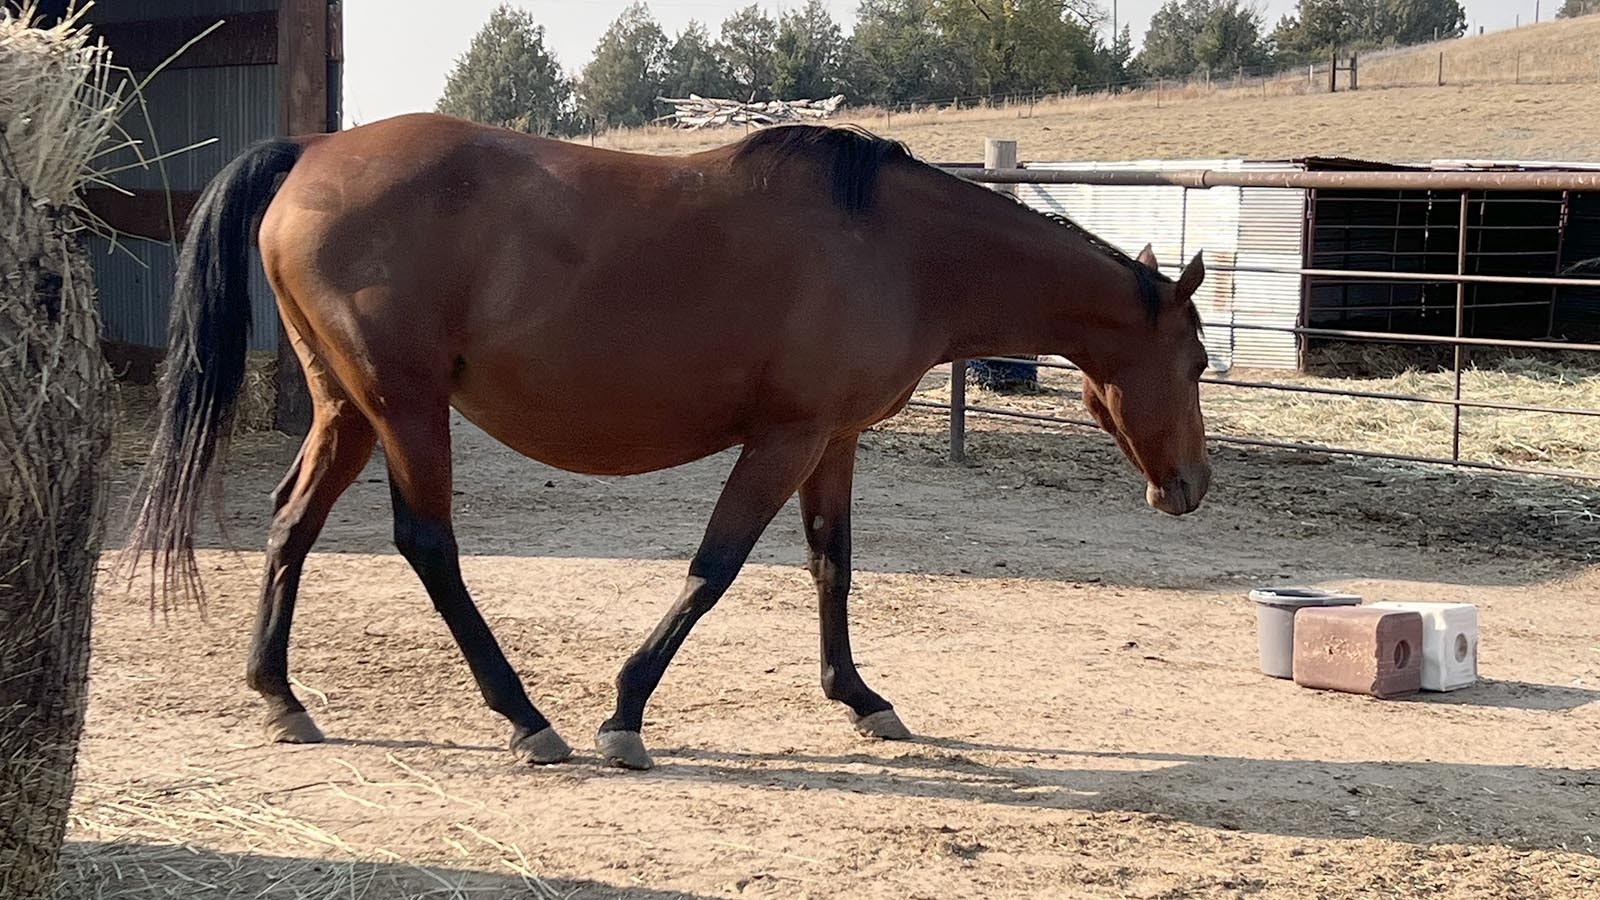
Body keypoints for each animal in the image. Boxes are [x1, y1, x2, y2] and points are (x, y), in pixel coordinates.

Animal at [131, 113, 1209, 771]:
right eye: (1198, 362)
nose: (1193, 485)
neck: (898, 249)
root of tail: (311, 152)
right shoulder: (783, 440)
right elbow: (713, 569)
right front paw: (624, 713)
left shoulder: (831, 441)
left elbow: (833, 565)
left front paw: (860, 697)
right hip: (404, 408)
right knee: (427, 544)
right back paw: (525, 718)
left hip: (348, 409)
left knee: (292, 526)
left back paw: (280, 697)